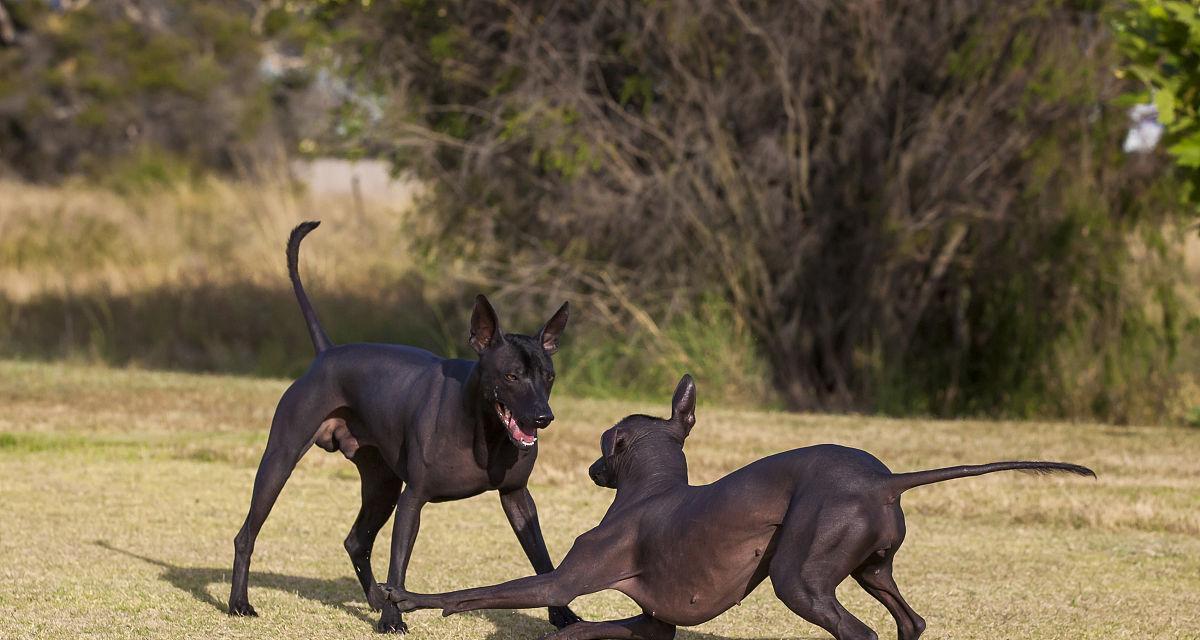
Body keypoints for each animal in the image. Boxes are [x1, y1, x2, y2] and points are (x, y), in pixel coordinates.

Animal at [229, 222, 580, 629]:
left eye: (549, 377)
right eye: (511, 376)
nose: (543, 417)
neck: (483, 431)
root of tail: (327, 353)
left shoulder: (517, 496)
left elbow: (542, 559)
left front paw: (563, 614)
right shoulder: (413, 498)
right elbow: (399, 565)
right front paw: (392, 619)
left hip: (382, 484)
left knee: (357, 541)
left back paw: (374, 598)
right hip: (280, 461)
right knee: (246, 534)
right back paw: (239, 602)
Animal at [386, 374, 1099, 638]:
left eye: (603, 444)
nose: (590, 468)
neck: (650, 489)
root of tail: (885, 482)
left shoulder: (567, 578)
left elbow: (480, 591)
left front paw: (410, 600)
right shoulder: (652, 624)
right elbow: (583, 630)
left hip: (799, 578)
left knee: (860, 631)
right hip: (873, 569)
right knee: (911, 621)